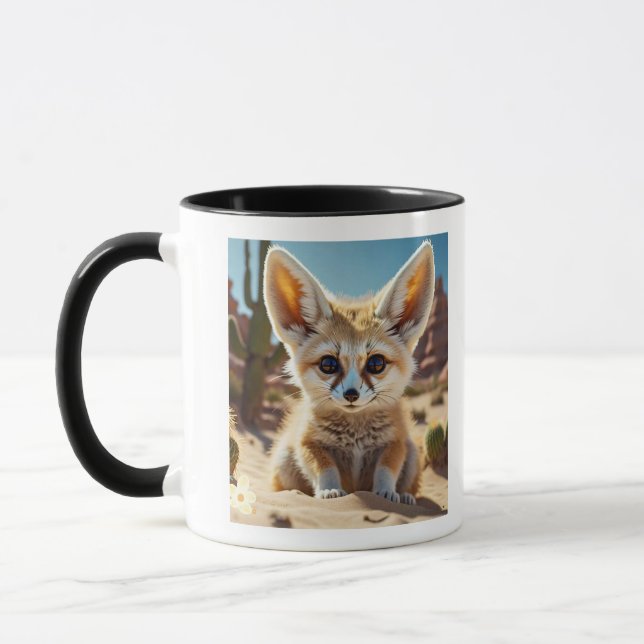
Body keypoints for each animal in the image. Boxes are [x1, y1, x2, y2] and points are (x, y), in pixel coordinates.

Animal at [263, 240, 435, 505]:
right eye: (328, 364)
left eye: (376, 363)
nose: (351, 394)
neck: (355, 434)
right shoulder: (308, 443)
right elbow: (325, 469)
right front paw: (330, 492)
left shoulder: (395, 442)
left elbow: (386, 470)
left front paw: (387, 494)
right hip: (283, 458)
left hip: (414, 454)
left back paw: (406, 496)